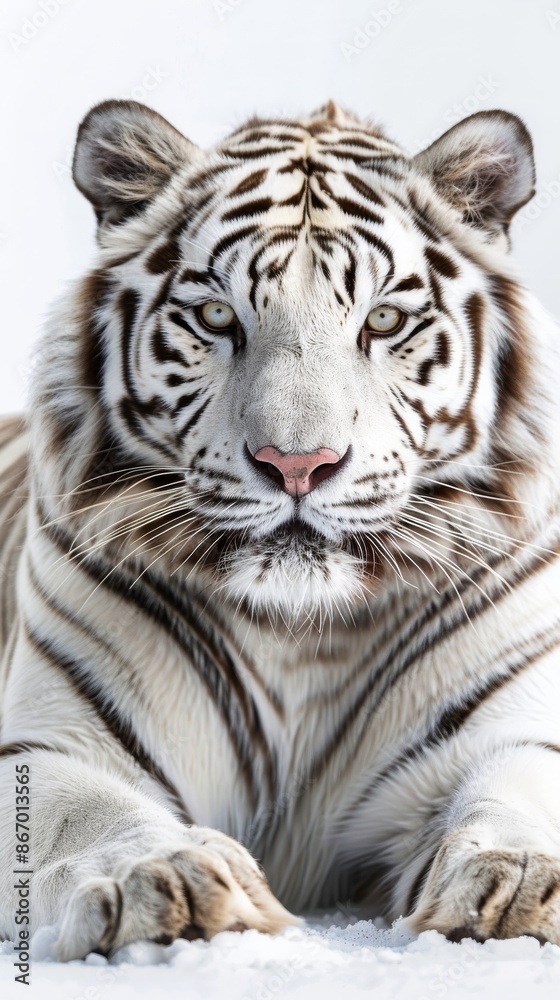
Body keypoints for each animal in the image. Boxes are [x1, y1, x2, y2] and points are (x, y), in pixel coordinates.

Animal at [1, 96, 560, 962]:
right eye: (216, 315)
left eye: (384, 320)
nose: (298, 465)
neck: (301, 632)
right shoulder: (48, 743)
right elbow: (88, 816)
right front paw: (160, 879)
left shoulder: (511, 733)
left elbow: (514, 799)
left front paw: (520, 881)